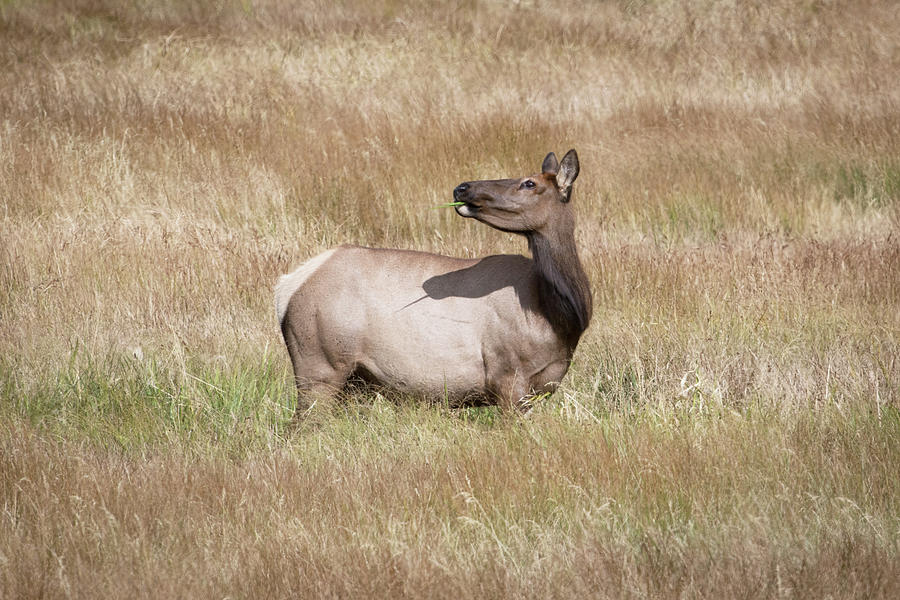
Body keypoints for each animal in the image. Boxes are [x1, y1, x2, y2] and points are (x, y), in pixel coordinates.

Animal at [278, 150, 596, 418]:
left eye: (529, 183)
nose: (462, 188)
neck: (560, 318)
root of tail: (286, 288)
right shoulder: (507, 376)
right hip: (319, 367)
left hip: (353, 381)